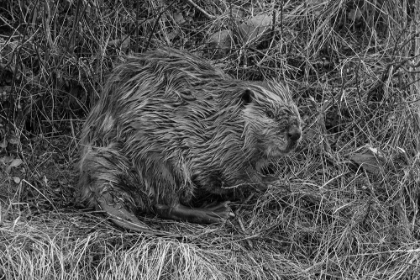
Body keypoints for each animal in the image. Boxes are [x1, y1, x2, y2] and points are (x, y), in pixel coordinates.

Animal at [78, 48, 302, 232]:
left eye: (295, 108)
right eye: (269, 114)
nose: (295, 133)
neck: (224, 114)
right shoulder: (222, 144)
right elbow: (236, 176)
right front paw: (274, 180)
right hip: (158, 155)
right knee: (165, 204)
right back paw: (216, 212)